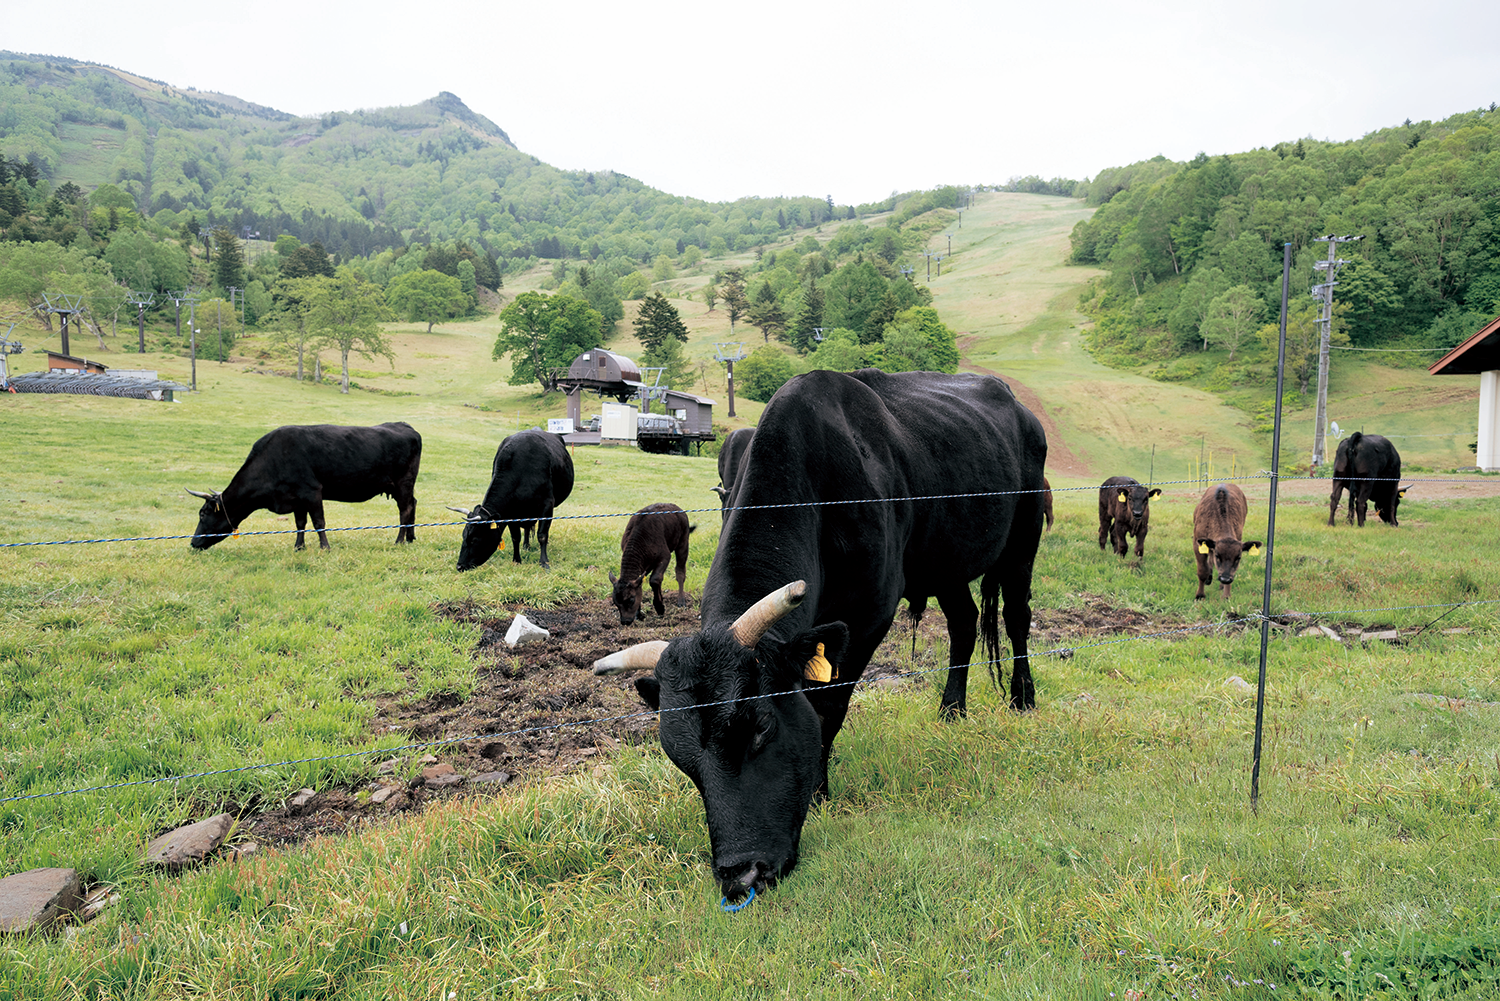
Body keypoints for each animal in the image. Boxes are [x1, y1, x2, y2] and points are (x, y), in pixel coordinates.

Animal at [189, 420, 423, 552]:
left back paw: (400, 541)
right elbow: (300, 523)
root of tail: (404, 425)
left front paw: (325, 548)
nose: (192, 542)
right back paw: (411, 538)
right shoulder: (295, 498)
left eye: (202, 514)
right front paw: (299, 547)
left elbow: (318, 522)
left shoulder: (312, 491)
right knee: (413, 503)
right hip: (400, 486)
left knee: (405, 509)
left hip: (403, 482)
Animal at [450, 429, 573, 570]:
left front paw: (544, 562)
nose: (459, 566)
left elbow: (542, 535)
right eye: (463, 535)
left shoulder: (547, 505)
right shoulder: (510, 513)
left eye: (474, 539)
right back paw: (526, 546)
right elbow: (515, 537)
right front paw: (516, 560)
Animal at [585, 370, 1044, 906]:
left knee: (1015, 616)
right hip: (945, 560)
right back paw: (952, 709)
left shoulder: (867, 616)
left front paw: (820, 792)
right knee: (964, 623)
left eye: (761, 727)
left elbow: (828, 707)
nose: (741, 876)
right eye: (680, 759)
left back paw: (1022, 697)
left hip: (1024, 536)